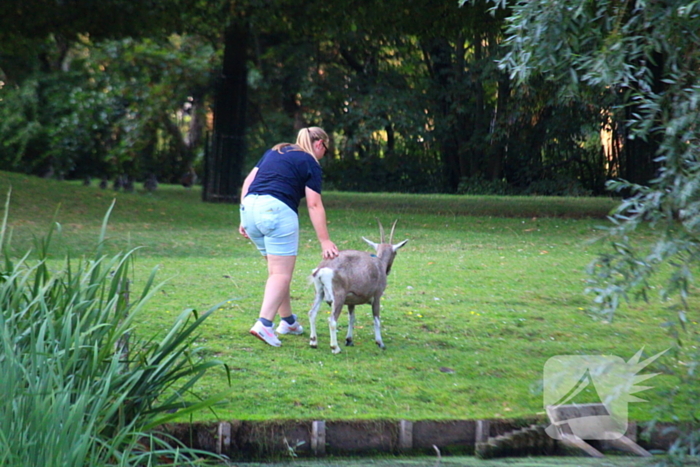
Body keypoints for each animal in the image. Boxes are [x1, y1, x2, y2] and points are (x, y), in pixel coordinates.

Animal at [308, 221, 408, 352]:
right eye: (395, 252)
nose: (388, 270)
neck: (379, 263)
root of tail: (322, 268)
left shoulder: (351, 301)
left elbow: (352, 318)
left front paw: (349, 340)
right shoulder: (377, 297)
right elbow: (376, 319)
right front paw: (380, 343)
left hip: (319, 292)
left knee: (312, 313)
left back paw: (313, 342)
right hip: (338, 296)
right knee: (332, 320)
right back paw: (335, 347)